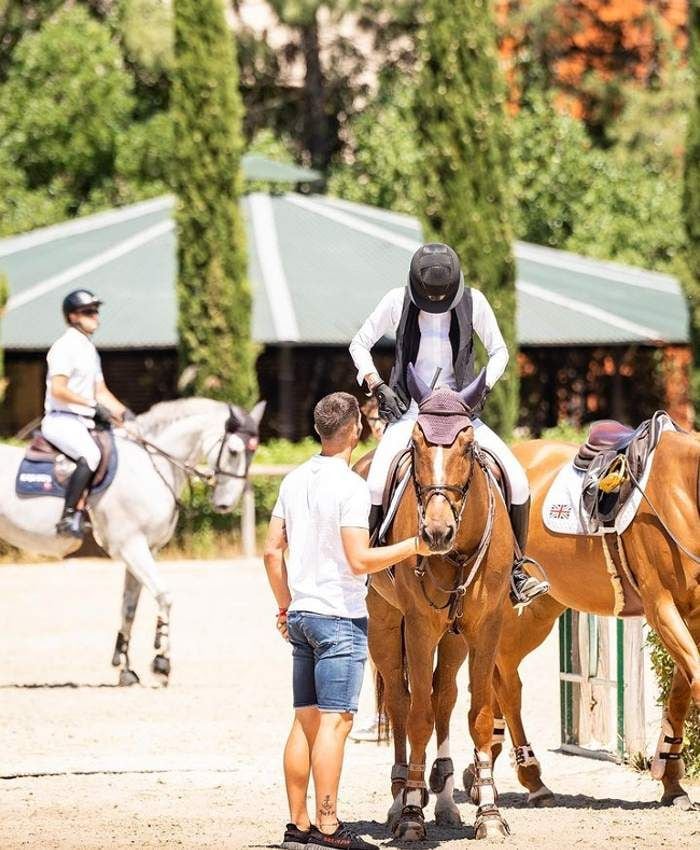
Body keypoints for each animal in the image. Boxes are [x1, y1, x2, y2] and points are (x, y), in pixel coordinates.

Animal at [0, 396, 266, 684]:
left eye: (253, 452)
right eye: (234, 451)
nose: (225, 505)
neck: (151, 466)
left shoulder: (145, 549)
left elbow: (129, 608)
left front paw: (125, 669)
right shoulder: (131, 546)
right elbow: (164, 595)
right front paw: (161, 663)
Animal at [360, 366, 516, 840]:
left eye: (467, 445)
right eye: (415, 444)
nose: (435, 532)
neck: (457, 553)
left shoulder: (485, 628)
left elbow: (477, 713)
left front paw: (489, 813)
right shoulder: (419, 627)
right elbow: (417, 717)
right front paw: (412, 815)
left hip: (454, 638)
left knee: (443, 696)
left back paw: (446, 800)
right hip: (385, 626)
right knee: (401, 701)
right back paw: (399, 801)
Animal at [482, 430, 700, 808]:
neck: (683, 491)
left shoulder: (693, 615)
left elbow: (679, 694)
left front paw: (671, 781)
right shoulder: (661, 607)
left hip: (540, 610)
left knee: (503, 674)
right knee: (504, 682)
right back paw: (529, 778)